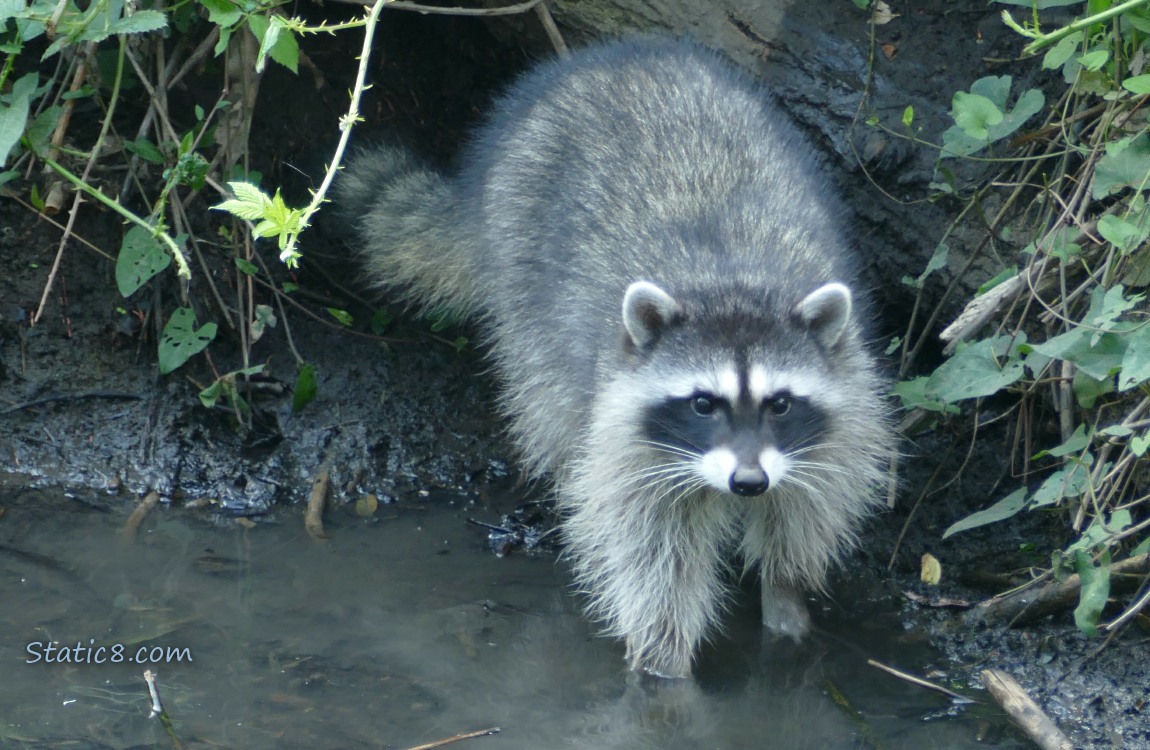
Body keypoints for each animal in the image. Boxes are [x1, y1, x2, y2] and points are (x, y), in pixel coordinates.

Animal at [339, 37, 896, 679]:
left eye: (780, 403)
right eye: (702, 403)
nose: (749, 482)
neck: (732, 283)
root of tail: (605, 56)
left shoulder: (841, 411)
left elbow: (805, 514)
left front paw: (786, 604)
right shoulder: (626, 432)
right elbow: (651, 552)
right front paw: (662, 665)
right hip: (522, 274)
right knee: (549, 405)